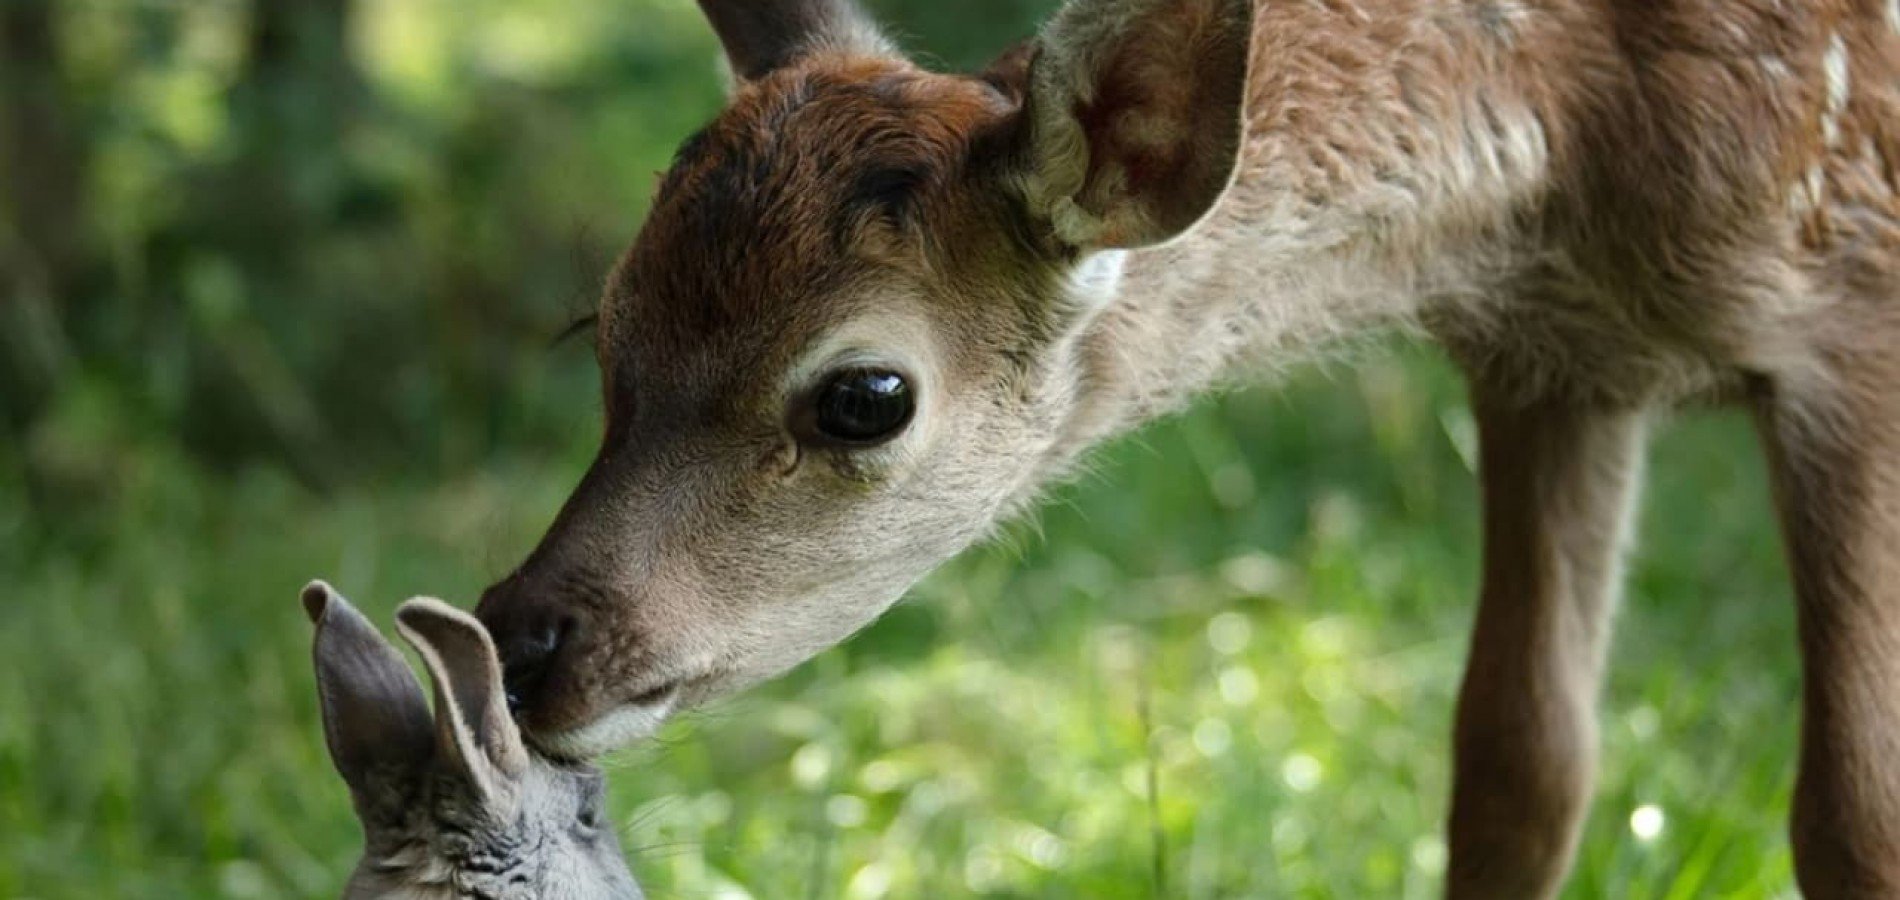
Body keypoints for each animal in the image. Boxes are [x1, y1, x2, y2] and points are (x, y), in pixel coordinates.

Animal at [475, 0, 1900, 892]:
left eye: (865, 394)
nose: (522, 640)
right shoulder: (1554, 362)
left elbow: (1852, 812)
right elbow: (1520, 772)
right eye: (601, 324)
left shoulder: (1850, 314)